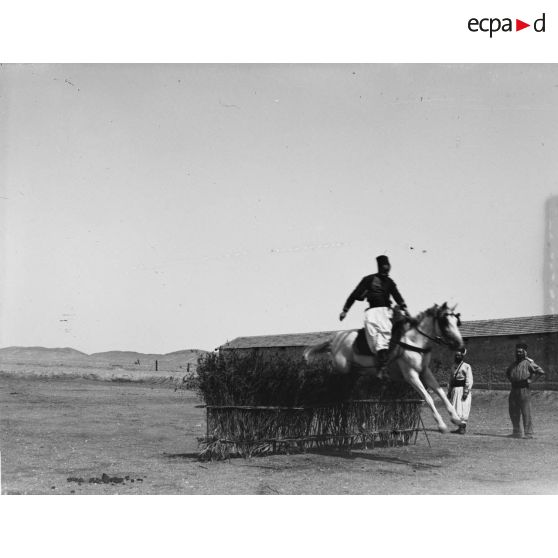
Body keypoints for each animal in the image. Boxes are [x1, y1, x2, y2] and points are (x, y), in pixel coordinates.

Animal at [306, 304, 468, 436]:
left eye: (456, 322)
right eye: (445, 322)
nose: (460, 345)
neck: (414, 341)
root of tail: (334, 339)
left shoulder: (425, 371)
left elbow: (441, 393)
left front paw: (457, 419)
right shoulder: (411, 375)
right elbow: (428, 397)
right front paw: (441, 425)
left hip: (356, 373)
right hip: (342, 367)